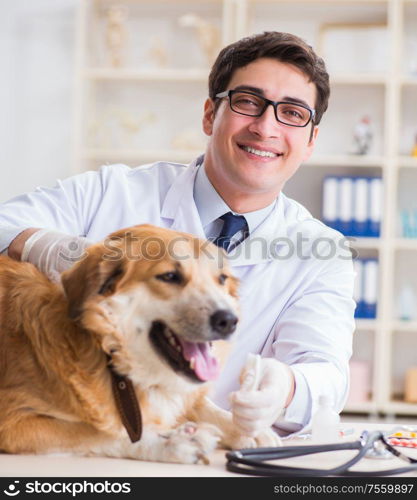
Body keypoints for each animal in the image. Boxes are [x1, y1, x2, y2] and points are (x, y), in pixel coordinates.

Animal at [0, 225, 280, 462]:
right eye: (170, 276)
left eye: (221, 279)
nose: (229, 321)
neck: (108, 352)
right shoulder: (14, 420)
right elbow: (103, 433)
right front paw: (173, 442)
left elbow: (202, 403)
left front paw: (249, 428)